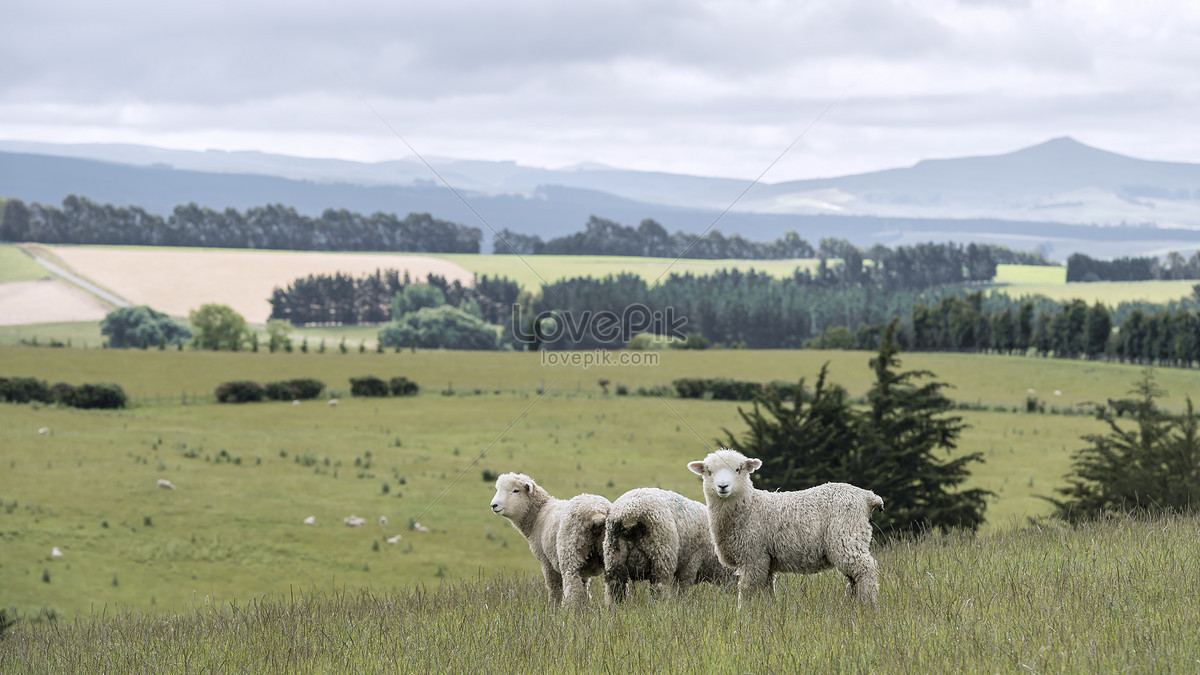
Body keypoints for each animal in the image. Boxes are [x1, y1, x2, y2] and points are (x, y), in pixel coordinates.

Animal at [492, 470, 614, 607]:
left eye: (516, 490)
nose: (494, 505)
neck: (538, 515)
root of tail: (597, 513)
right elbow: (585, 588)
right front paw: (586, 606)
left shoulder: (546, 561)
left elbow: (554, 587)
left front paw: (553, 606)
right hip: (610, 550)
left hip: (571, 551)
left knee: (573, 588)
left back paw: (569, 610)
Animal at [604, 482, 734, 605]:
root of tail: (629, 513)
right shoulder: (691, 563)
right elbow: (681, 590)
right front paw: (680, 605)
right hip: (661, 556)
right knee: (659, 588)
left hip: (613, 556)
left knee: (615, 587)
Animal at [686, 446, 883, 605]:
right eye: (709, 472)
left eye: (738, 469)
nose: (723, 486)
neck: (750, 507)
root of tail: (867, 496)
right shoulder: (765, 561)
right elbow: (767, 592)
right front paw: (767, 612)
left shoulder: (753, 556)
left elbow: (748, 591)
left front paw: (743, 615)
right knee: (854, 578)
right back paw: (852, 604)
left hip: (846, 537)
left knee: (866, 570)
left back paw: (868, 605)